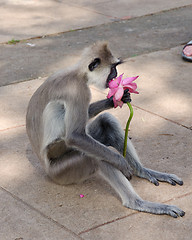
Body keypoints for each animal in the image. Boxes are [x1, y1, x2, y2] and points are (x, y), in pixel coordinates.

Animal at [26, 42, 184, 218]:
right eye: (113, 68)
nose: (116, 75)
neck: (78, 74)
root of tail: (47, 170)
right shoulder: (77, 90)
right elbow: (75, 136)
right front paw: (121, 162)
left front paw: (115, 99)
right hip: (62, 170)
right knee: (96, 158)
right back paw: (137, 202)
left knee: (106, 122)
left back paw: (143, 171)